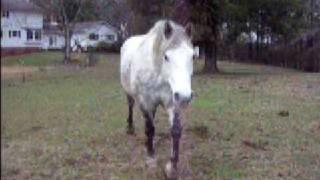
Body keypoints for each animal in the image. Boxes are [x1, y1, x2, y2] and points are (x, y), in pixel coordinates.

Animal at [120, 20, 194, 179]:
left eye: (193, 56)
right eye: (166, 57)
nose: (185, 96)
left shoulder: (173, 102)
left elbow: (175, 130)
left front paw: (172, 167)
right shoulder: (146, 102)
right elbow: (149, 128)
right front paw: (151, 158)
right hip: (128, 92)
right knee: (130, 105)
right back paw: (130, 128)